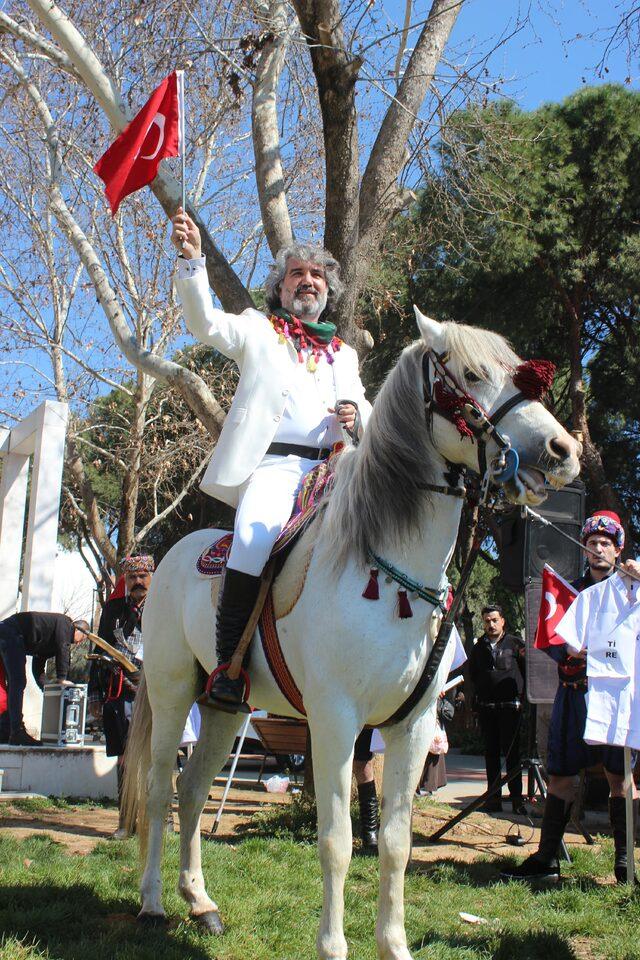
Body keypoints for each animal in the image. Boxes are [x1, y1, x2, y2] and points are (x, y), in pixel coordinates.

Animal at [121, 312, 580, 956]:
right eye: (470, 374)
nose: (564, 451)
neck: (388, 571)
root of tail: (170, 557)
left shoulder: (414, 726)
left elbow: (395, 843)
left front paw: (395, 944)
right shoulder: (335, 720)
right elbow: (337, 841)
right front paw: (333, 945)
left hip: (224, 708)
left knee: (191, 790)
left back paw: (201, 903)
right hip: (170, 694)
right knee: (161, 787)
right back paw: (154, 902)